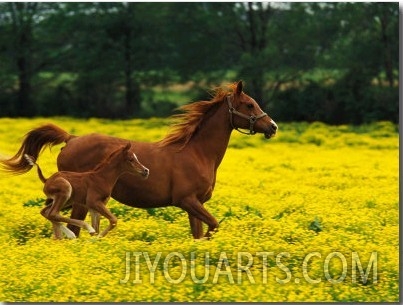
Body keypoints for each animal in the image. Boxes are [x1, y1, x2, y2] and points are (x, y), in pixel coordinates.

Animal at [0, 81, 278, 238]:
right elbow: (213, 226)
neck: (198, 153)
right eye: (249, 104)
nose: (272, 126)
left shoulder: (194, 204)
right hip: (78, 200)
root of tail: (72, 138)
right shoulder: (187, 200)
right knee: (67, 222)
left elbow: (199, 234)